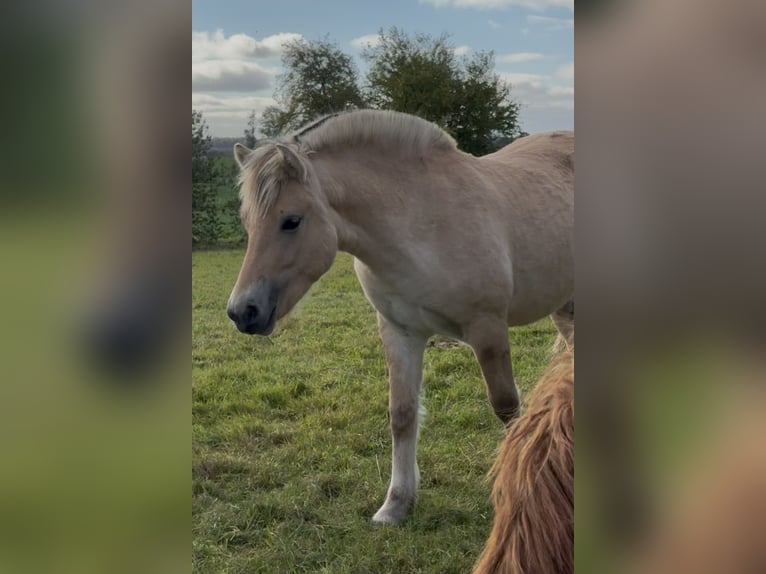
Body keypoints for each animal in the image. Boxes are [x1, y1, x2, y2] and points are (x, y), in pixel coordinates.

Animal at [227, 109, 574, 524]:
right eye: (247, 222)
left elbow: (507, 409)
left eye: (291, 221)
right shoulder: (400, 332)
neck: (422, 222)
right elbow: (402, 414)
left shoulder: (487, 329)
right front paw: (396, 505)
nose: (242, 311)